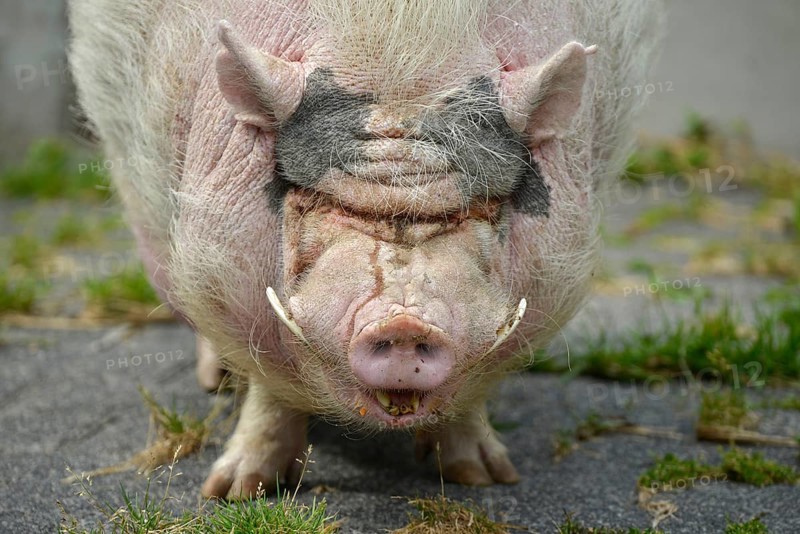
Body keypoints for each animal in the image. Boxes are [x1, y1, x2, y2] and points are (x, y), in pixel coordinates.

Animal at [69, 0, 662, 498]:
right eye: (318, 202)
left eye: (477, 210)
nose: (403, 323)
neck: (397, 51)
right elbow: (269, 391)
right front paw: (232, 493)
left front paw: (486, 478)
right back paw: (216, 385)